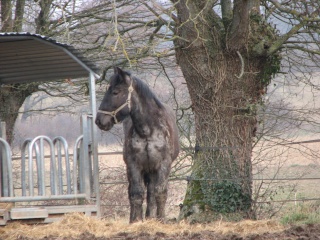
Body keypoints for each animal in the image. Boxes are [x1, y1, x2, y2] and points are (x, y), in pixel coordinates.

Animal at [95, 66, 180, 222]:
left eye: (115, 92)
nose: (99, 120)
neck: (147, 131)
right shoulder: (133, 165)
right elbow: (136, 193)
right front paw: (136, 221)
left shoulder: (163, 165)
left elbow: (160, 192)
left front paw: (161, 219)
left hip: (152, 170)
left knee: (152, 193)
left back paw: (151, 217)